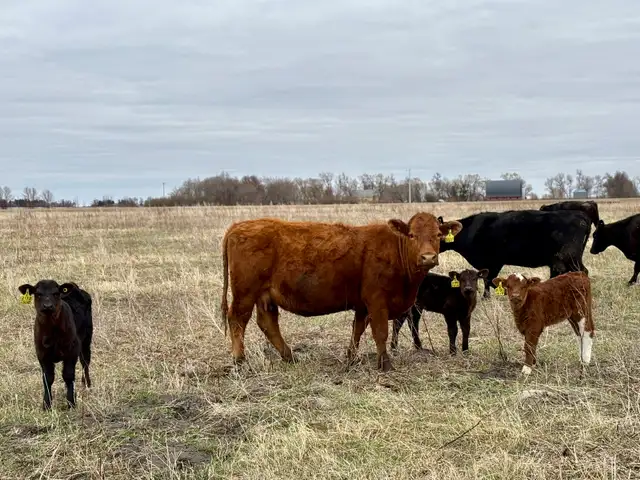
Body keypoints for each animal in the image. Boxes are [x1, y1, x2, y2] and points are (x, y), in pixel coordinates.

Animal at [18, 280, 93, 410]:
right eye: (38, 294)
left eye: (56, 293)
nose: (47, 306)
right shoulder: (41, 354)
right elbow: (47, 378)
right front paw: (46, 405)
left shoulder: (71, 351)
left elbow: (68, 375)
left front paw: (71, 402)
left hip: (86, 340)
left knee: (85, 363)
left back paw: (86, 385)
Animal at [220, 213, 463, 372]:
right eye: (411, 235)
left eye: (438, 235)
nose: (428, 257)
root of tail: (239, 226)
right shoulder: (377, 301)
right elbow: (380, 332)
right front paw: (384, 364)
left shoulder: (363, 305)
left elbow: (357, 330)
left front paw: (351, 358)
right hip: (245, 293)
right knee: (238, 320)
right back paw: (239, 360)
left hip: (265, 296)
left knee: (267, 323)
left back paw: (289, 357)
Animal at [437, 210, 591, 298]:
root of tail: (579, 216)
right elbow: (489, 280)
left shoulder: (493, 261)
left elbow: (489, 279)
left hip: (569, 257)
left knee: (581, 271)